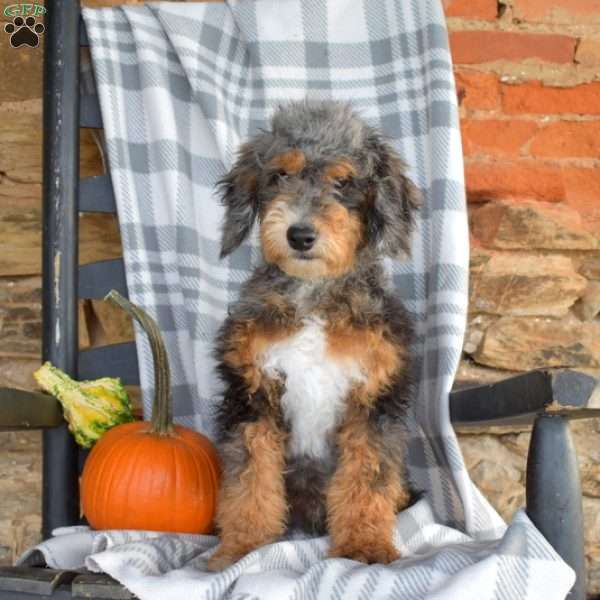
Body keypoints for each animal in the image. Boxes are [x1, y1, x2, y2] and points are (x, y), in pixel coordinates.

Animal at [209, 103, 420, 572]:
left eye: (343, 181)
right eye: (280, 175)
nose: (300, 235)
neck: (313, 298)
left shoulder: (373, 401)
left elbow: (367, 477)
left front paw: (364, 545)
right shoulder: (252, 395)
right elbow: (249, 479)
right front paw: (242, 548)